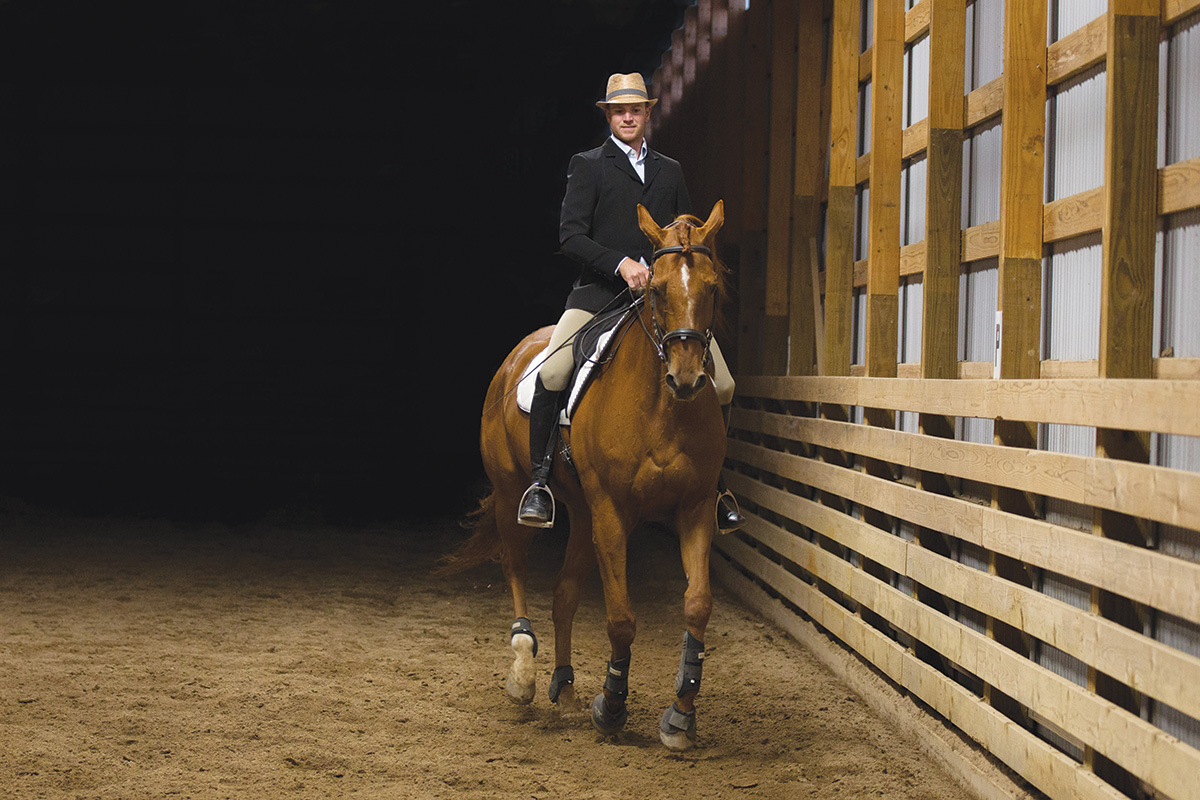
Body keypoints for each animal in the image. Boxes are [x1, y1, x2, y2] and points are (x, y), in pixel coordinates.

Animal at [439, 200, 724, 753]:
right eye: (657, 289)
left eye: (713, 286)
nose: (686, 378)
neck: (664, 408)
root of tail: (520, 351)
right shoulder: (613, 511)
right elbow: (620, 618)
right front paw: (611, 708)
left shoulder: (695, 507)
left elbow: (698, 604)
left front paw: (680, 715)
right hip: (512, 495)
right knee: (516, 568)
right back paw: (524, 670)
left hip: (583, 513)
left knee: (563, 593)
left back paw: (565, 687)